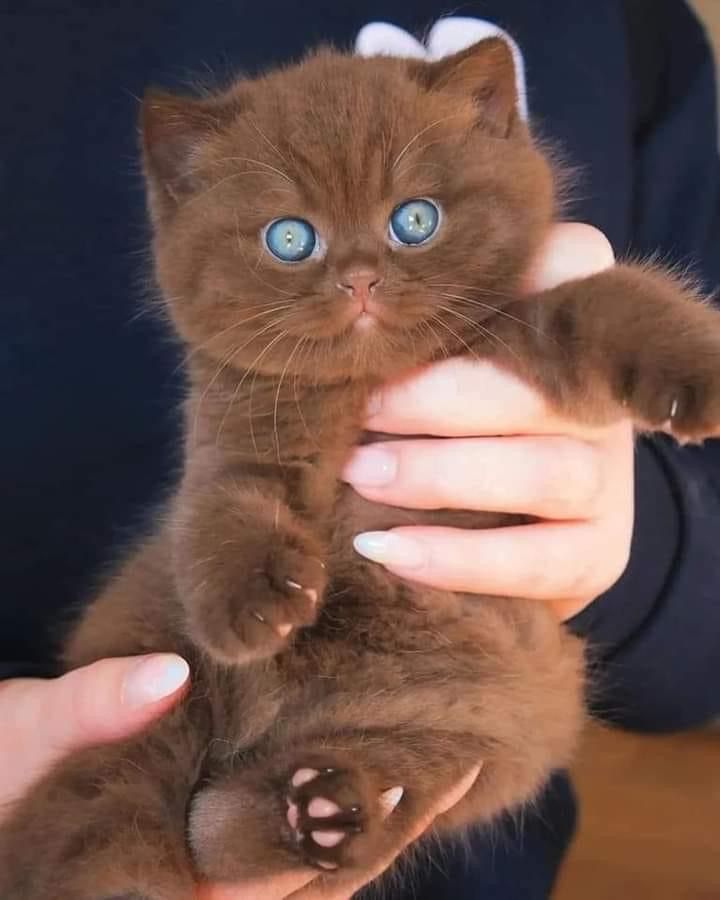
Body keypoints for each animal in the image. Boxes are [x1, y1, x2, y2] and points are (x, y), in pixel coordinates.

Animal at [1, 37, 720, 900]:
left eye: (414, 220)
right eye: (290, 239)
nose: (361, 278)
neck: (363, 384)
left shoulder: (518, 335)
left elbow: (606, 303)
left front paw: (695, 370)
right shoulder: (240, 425)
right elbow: (225, 501)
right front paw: (251, 605)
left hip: (488, 719)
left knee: (261, 819)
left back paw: (318, 809)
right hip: (155, 673)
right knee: (106, 816)